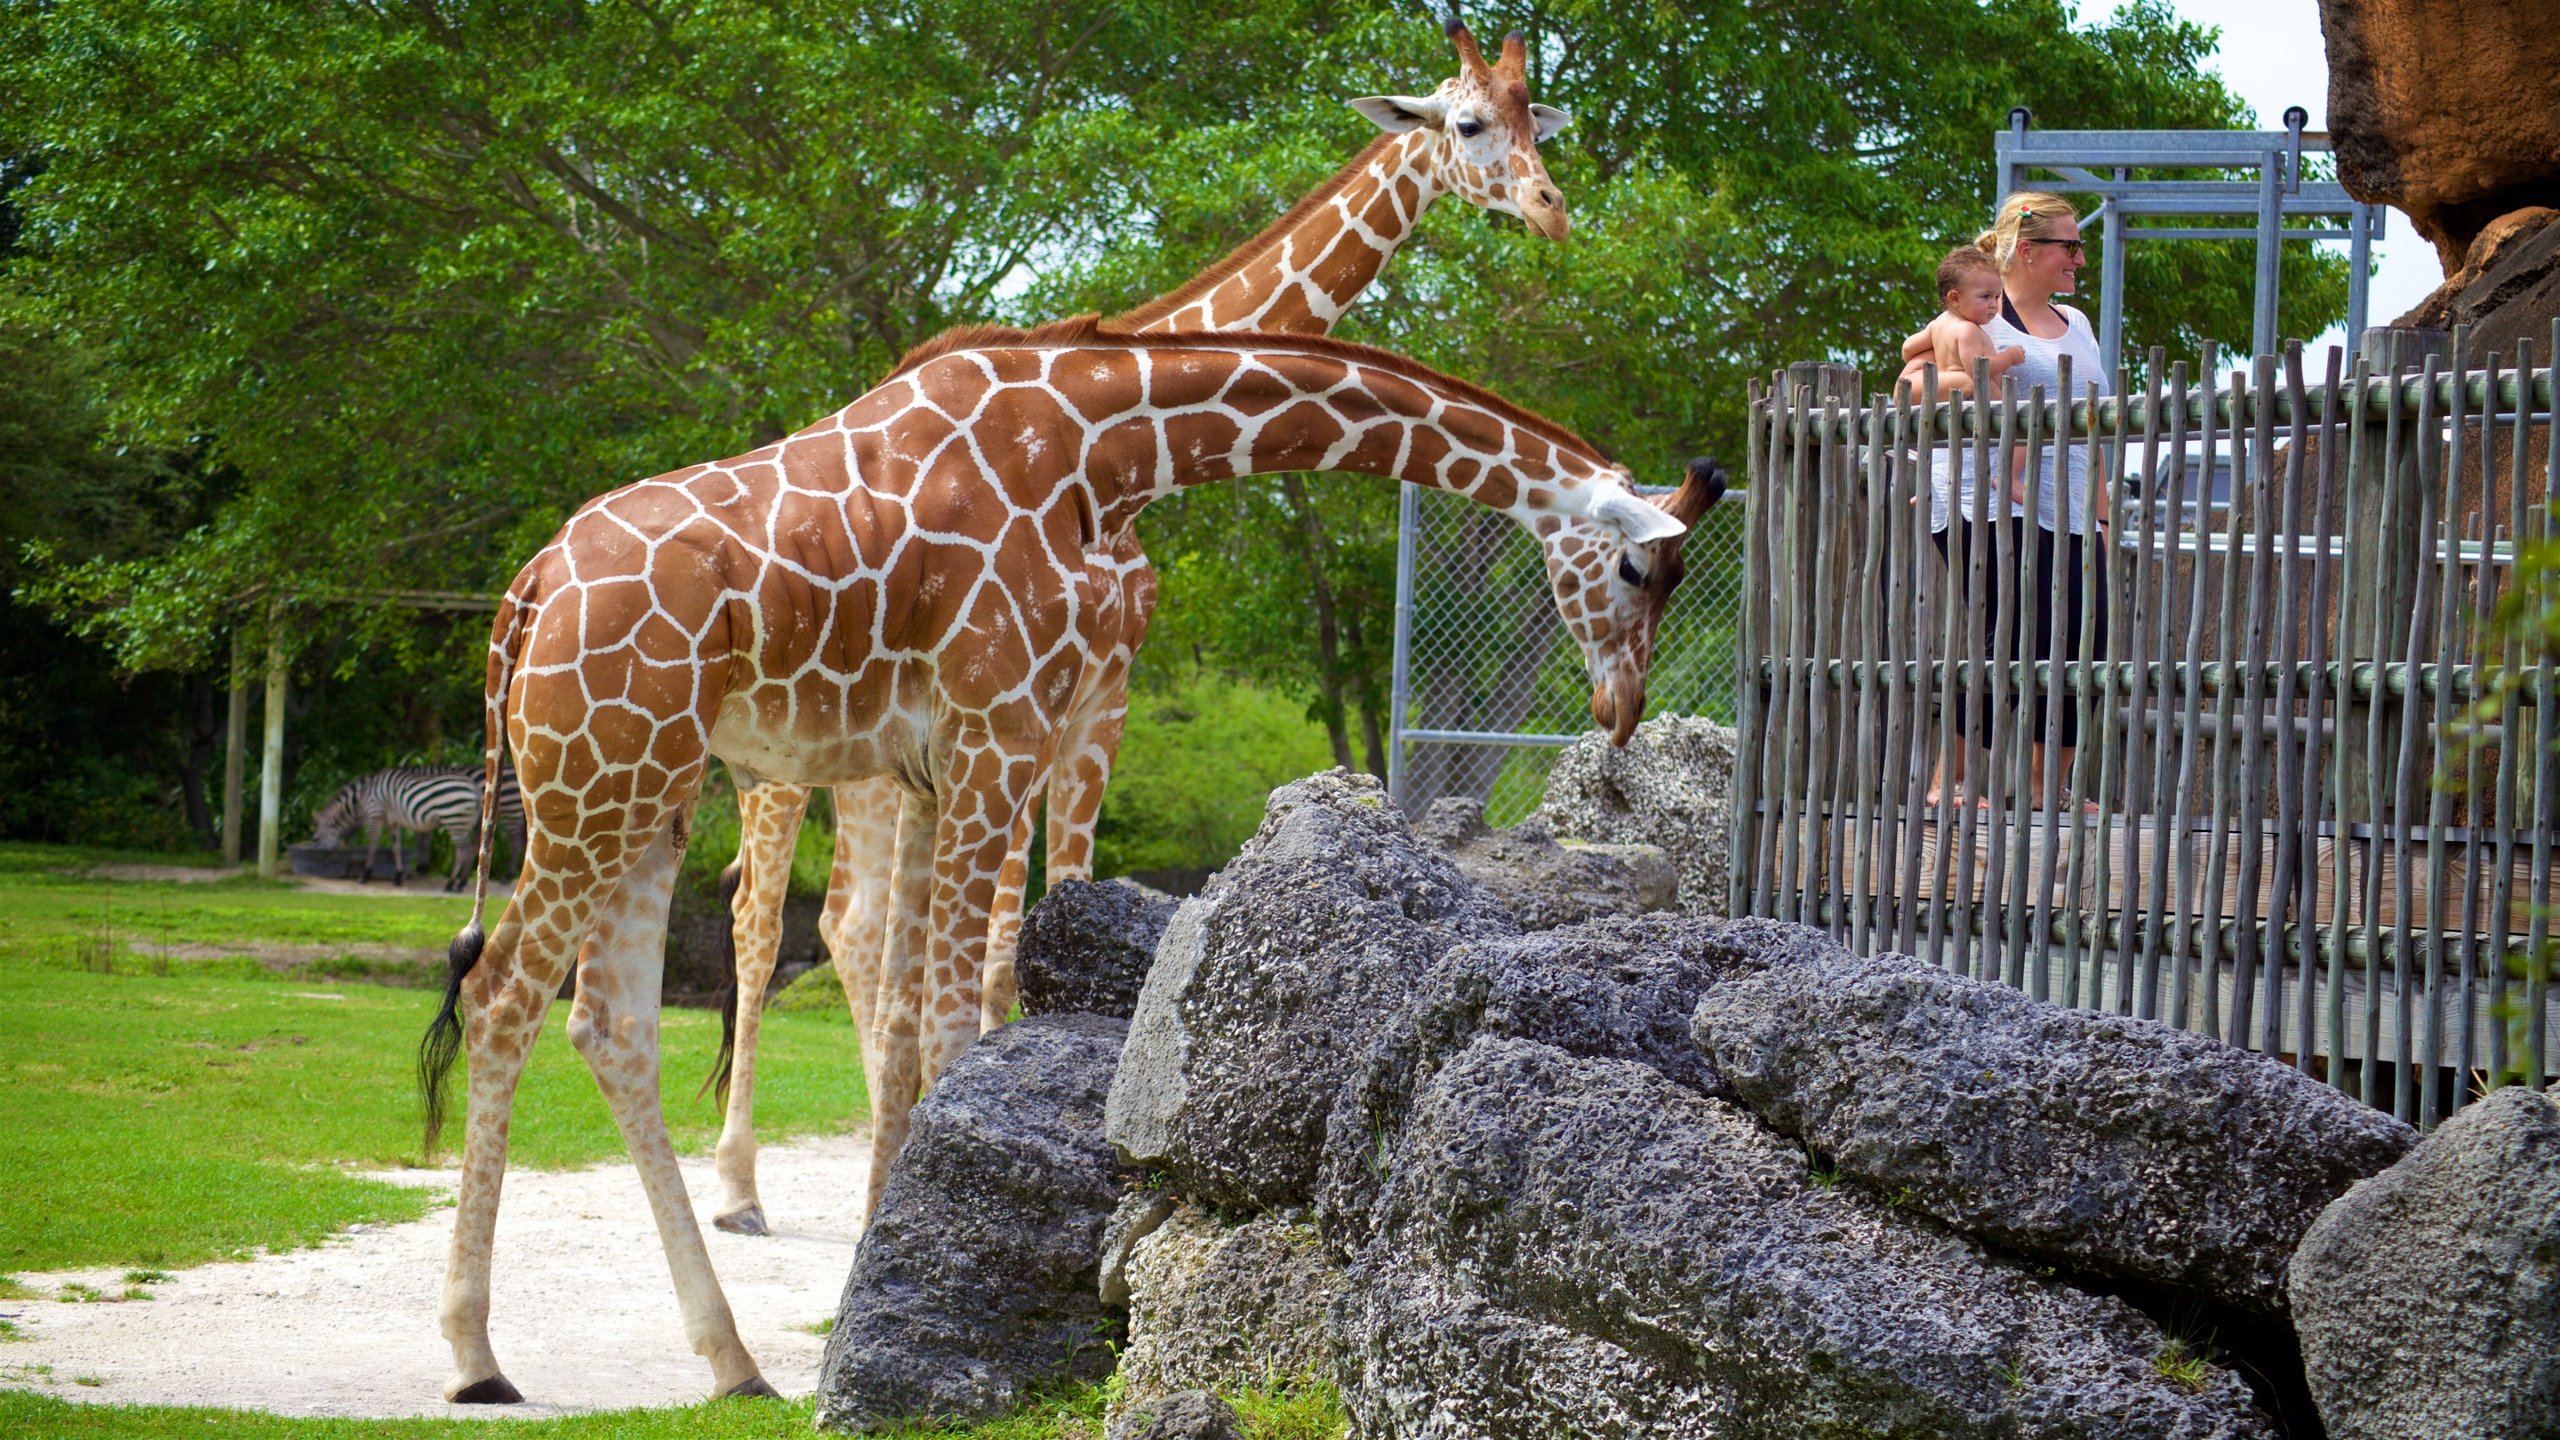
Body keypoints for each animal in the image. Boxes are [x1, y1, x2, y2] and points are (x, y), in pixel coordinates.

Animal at [309, 763, 524, 886]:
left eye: (316, 836)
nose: (318, 855)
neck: (363, 797)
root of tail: (474, 790)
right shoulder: (393, 822)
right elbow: (396, 847)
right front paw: (398, 876)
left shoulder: (375, 815)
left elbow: (373, 846)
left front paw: (365, 875)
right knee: (476, 848)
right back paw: (462, 881)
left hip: (485, 815)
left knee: (509, 844)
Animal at [419, 316, 1720, 1404]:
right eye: (1636, 568)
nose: (1619, 710)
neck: (1101, 443)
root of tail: (525, 596)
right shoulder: (999, 730)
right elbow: (955, 1024)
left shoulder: (933, 764)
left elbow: (917, 1028)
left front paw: (880, 1292)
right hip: (606, 774)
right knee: (504, 994)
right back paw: (478, 1359)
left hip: (654, 788)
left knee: (611, 1023)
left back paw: (732, 1362)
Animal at [701, 19, 1576, 1235]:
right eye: (1467, 121)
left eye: (1543, 120)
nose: (1550, 208)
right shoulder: (1044, 705)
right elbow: (1001, 941)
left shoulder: (1088, 700)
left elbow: (1033, 922)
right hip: (783, 776)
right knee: (761, 922)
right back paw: (737, 1185)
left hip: (866, 775)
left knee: (852, 932)